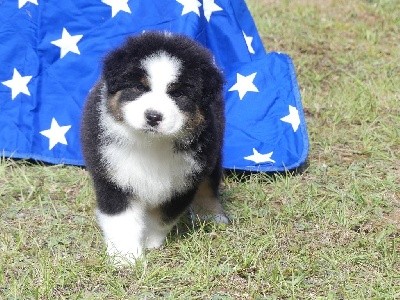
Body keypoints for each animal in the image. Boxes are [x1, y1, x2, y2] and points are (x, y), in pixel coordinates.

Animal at [81, 31, 228, 264]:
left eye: (178, 94)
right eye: (140, 87)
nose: (153, 116)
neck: (150, 143)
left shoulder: (184, 181)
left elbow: (162, 216)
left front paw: (149, 241)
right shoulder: (113, 175)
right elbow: (121, 219)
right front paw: (125, 257)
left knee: (209, 184)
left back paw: (212, 214)